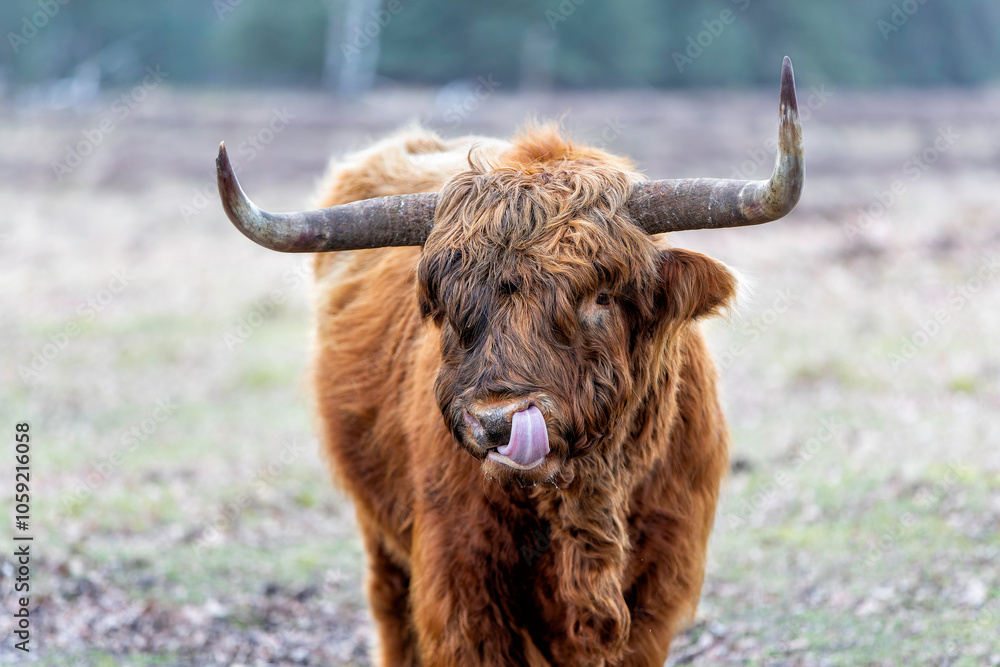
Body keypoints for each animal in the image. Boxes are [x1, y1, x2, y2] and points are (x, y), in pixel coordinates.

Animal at [216, 57, 804, 666]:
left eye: (602, 295)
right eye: (449, 302)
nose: (498, 421)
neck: (588, 505)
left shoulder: (659, 588)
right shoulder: (460, 584)